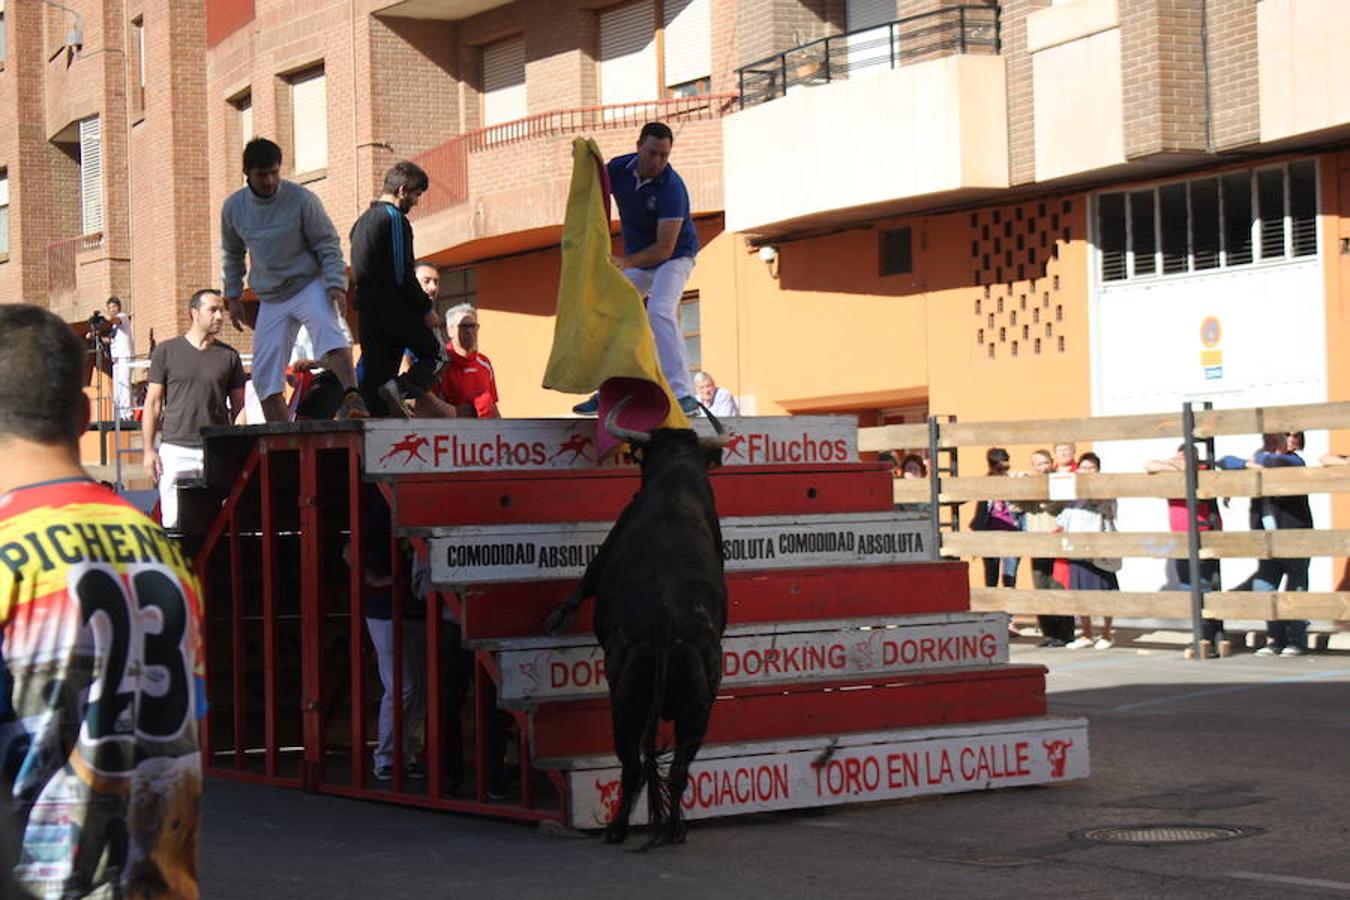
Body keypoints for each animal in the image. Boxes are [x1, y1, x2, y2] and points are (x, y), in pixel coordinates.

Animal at [545, 412, 729, 847]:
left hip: (626, 702)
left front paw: (558, 615)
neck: (676, 475)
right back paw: (676, 829)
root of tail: (666, 618)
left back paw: (616, 829)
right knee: (679, 770)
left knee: (631, 765)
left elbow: (587, 579)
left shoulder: (612, 539)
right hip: (698, 708)